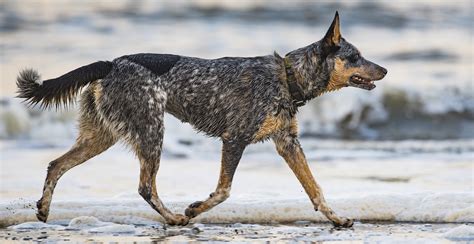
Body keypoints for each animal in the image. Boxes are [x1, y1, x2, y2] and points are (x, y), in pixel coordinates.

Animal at [17, 12, 388, 228]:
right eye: (355, 57)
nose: (384, 70)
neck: (287, 77)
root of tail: (110, 64)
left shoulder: (288, 144)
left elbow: (316, 190)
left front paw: (336, 219)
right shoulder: (235, 139)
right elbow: (223, 191)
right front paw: (195, 209)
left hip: (101, 136)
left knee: (56, 165)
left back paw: (44, 210)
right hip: (151, 131)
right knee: (145, 186)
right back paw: (174, 217)